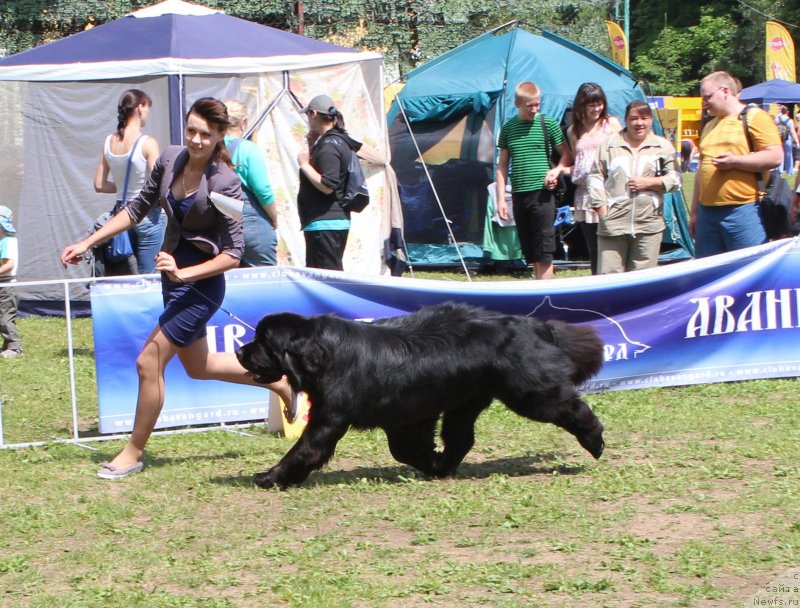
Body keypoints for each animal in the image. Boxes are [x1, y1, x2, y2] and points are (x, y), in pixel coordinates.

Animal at [238, 302, 608, 490]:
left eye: (263, 342)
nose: (240, 352)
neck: (324, 353)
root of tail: (530, 324)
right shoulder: (406, 417)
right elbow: (405, 449)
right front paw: (433, 463)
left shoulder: (330, 418)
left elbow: (305, 450)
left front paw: (270, 477)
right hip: (466, 400)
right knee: (461, 437)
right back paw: (445, 466)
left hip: (527, 392)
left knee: (570, 407)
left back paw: (595, 441)